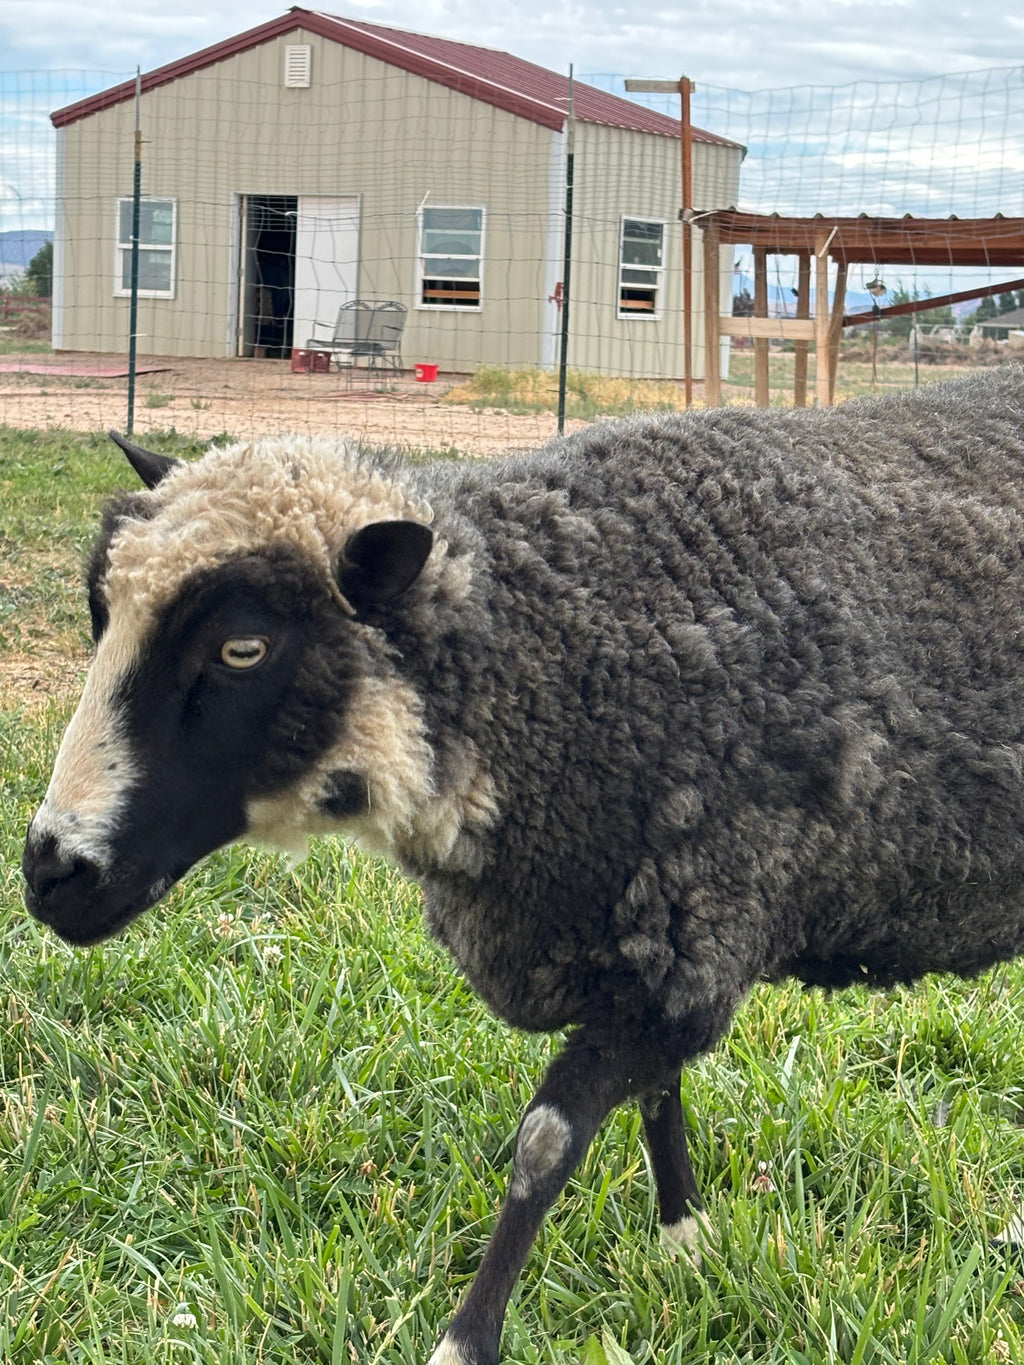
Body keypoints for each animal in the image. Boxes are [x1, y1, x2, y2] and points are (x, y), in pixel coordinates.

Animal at [20, 365, 1024, 1365]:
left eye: (242, 647)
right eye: (100, 615)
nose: (50, 871)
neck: (551, 665)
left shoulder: (693, 926)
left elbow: (544, 1142)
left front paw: (465, 1338)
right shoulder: (656, 941)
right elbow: (657, 1095)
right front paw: (685, 1242)